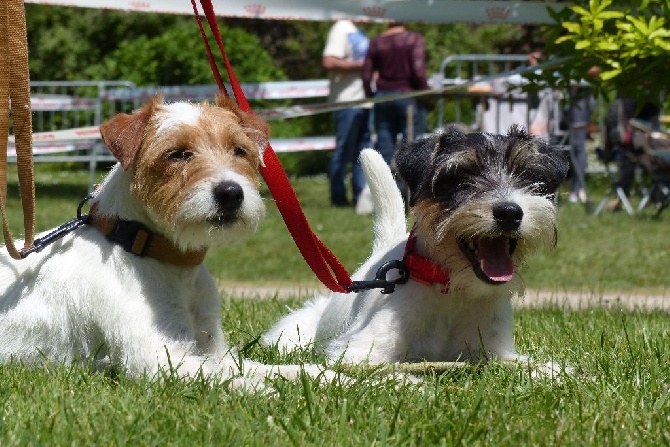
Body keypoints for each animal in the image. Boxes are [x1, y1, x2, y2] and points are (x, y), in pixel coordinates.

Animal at [0, 95, 332, 388]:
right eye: (177, 154)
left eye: (239, 150)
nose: (231, 193)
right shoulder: (157, 359)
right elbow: (227, 379)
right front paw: (260, 390)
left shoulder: (213, 350)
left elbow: (267, 369)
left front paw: (325, 376)